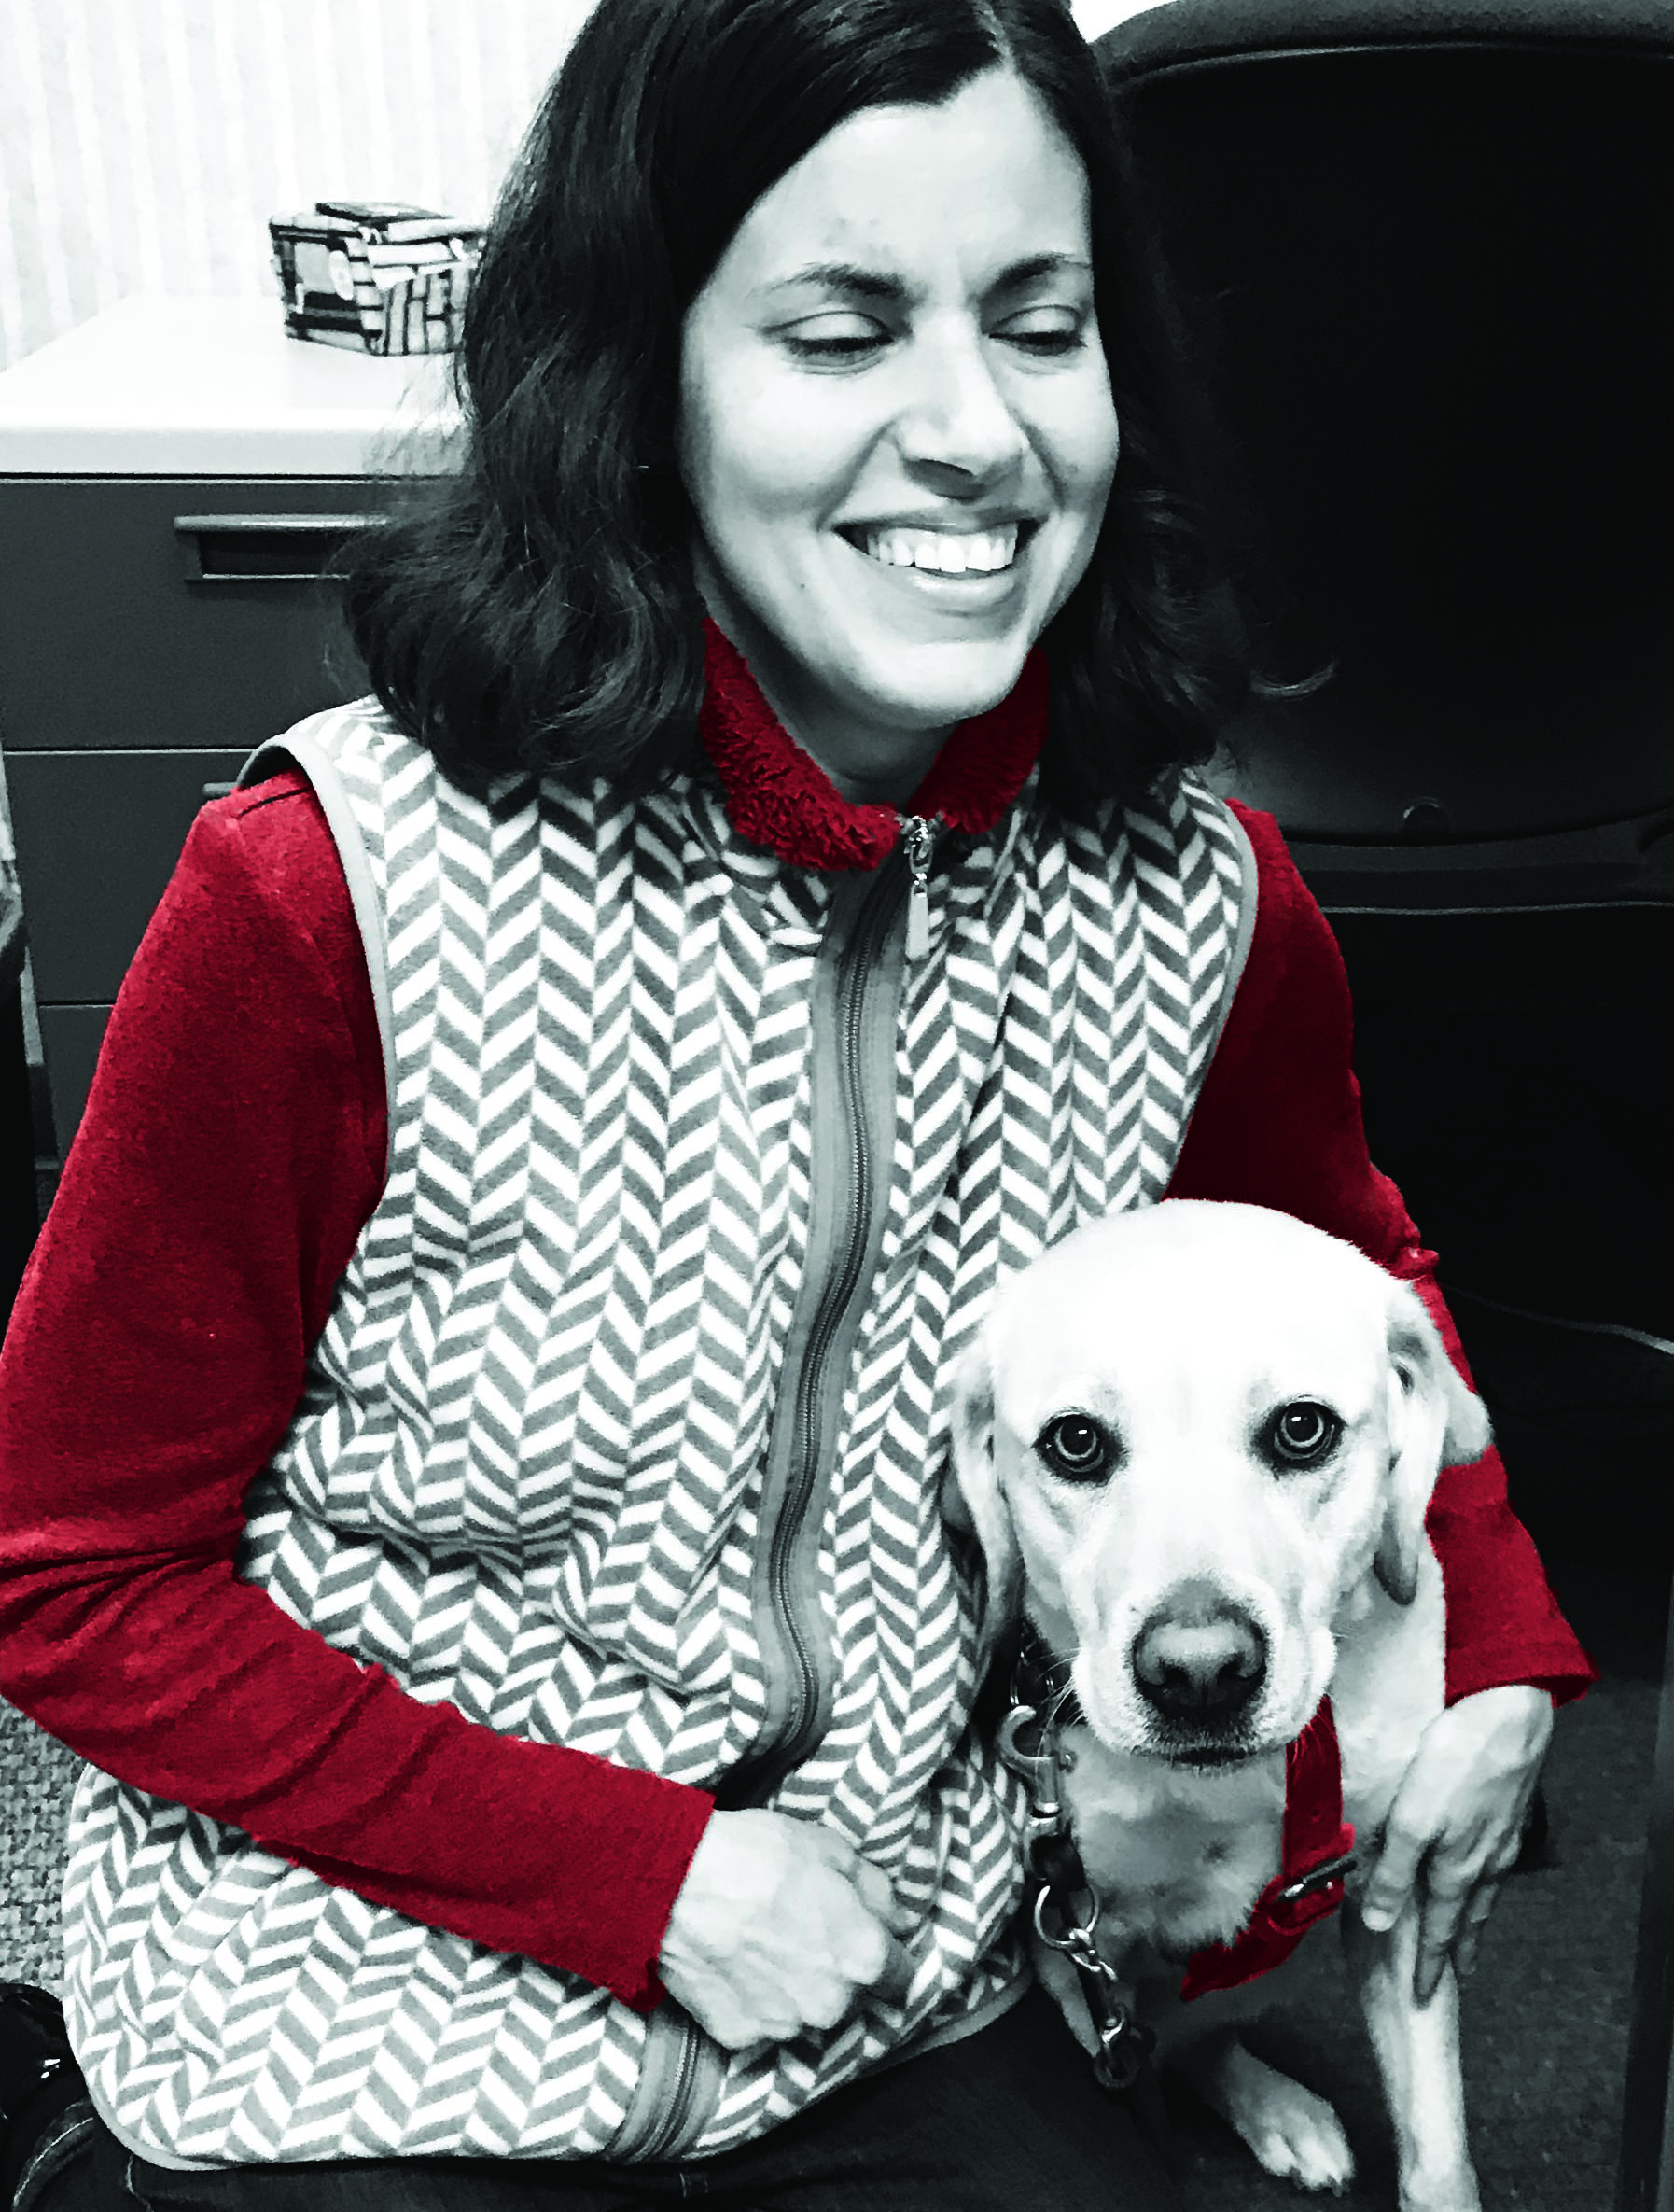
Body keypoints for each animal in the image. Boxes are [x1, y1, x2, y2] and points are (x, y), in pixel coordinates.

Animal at [955, 1211, 1486, 2212]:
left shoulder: (1399, 1910)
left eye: (1302, 1429)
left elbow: (1439, 2154)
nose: (1199, 1675)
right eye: (1075, 1443)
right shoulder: (1082, 1960)